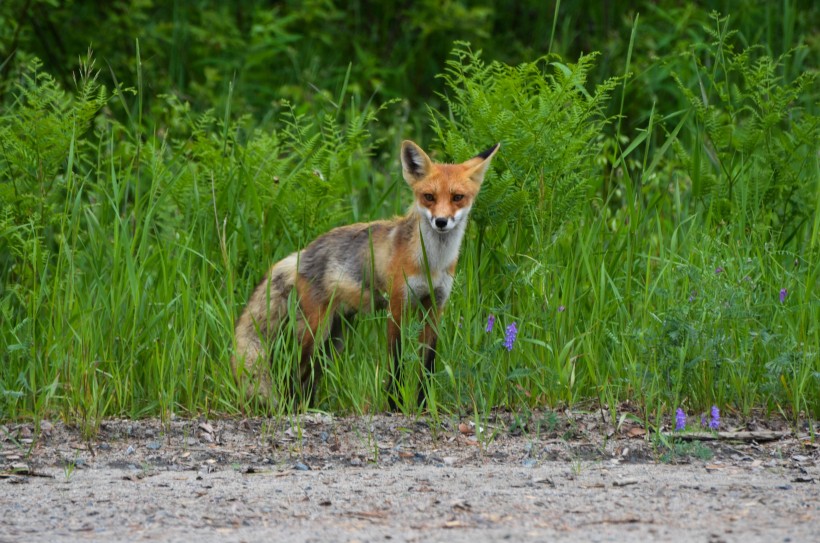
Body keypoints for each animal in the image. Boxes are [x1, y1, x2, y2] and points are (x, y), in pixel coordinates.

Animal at [232, 140, 500, 408]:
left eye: (457, 198)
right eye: (429, 197)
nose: (441, 222)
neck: (431, 264)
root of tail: (302, 253)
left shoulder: (435, 306)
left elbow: (427, 365)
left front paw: (424, 406)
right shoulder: (397, 305)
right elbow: (396, 363)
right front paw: (394, 405)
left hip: (335, 339)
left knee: (310, 376)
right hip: (316, 331)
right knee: (293, 372)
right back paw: (295, 408)